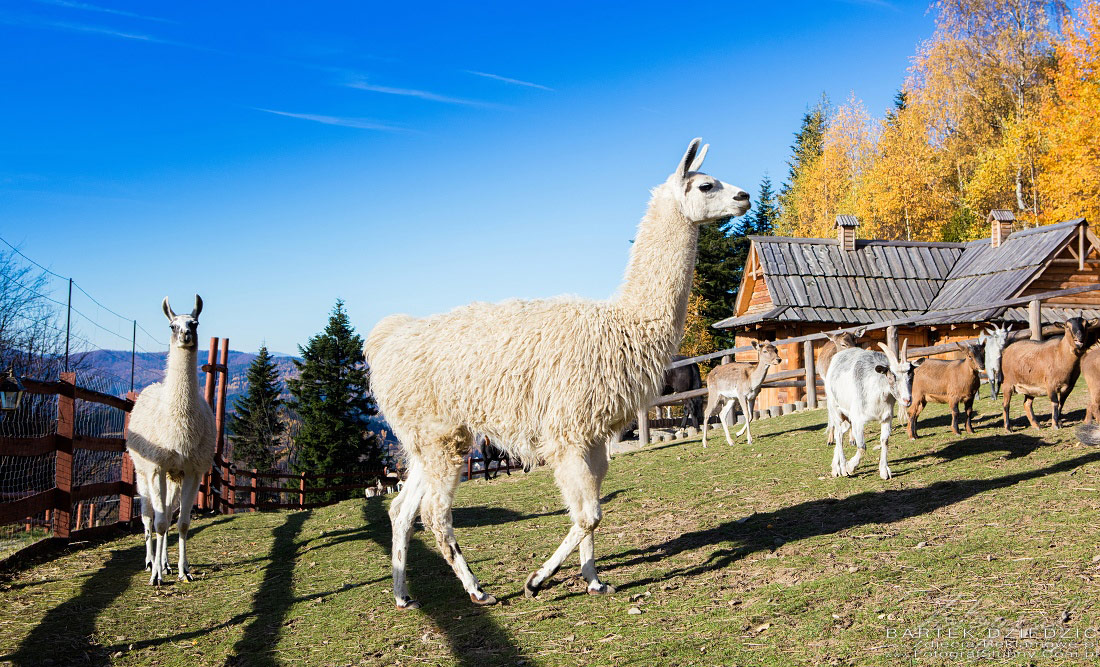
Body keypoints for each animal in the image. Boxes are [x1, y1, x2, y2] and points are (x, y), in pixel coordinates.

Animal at [827, 343, 919, 477]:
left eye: (911, 375)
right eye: (891, 376)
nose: (907, 400)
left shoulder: (887, 417)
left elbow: (884, 441)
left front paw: (884, 471)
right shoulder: (857, 419)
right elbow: (862, 447)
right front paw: (850, 467)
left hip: (847, 418)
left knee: (841, 433)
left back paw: (835, 468)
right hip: (836, 410)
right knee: (838, 435)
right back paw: (843, 468)